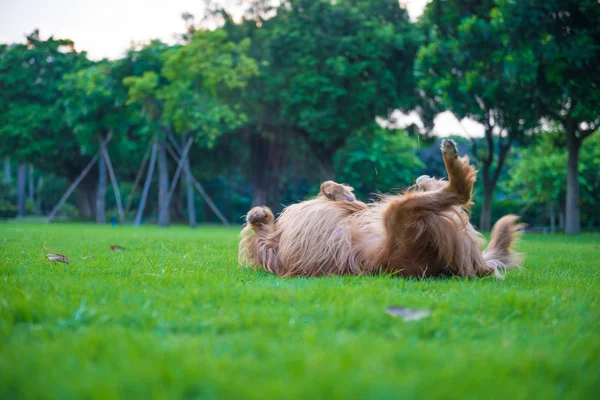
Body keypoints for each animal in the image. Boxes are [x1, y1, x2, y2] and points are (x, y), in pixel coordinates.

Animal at [239, 140, 524, 278]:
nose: (256, 213)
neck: (274, 238)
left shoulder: (356, 211)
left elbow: (334, 190)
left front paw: (340, 191)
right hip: (400, 216)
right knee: (459, 192)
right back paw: (448, 161)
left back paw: (429, 177)